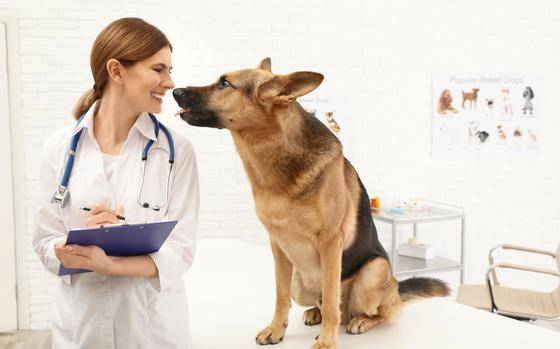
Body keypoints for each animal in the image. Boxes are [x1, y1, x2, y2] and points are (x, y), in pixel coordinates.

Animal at [173, 58, 448, 346]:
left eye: (224, 83)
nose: (175, 91)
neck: (274, 151)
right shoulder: (277, 245)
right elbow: (281, 296)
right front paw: (276, 329)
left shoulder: (330, 243)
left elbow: (332, 304)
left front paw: (326, 342)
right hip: (300, 282)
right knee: (328, 304)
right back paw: (315, 312)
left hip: (373, 273)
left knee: (375, 311)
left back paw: (361, 320)